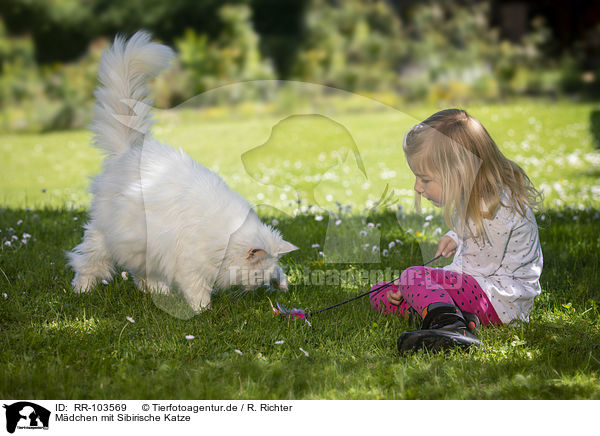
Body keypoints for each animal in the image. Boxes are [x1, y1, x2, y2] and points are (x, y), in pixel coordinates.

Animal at [68, 31, 298, 310]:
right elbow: (197, 291)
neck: (224, 237)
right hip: (105, 238)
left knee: (141, 274)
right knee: (87, 263)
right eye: (255, 276)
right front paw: (204, 311)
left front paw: (282, 284)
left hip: (142, 248)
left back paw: (157, 291)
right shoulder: (189, 265)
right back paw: (82, 290)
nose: (256, 287)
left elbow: (280, 270)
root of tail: (129, 152)